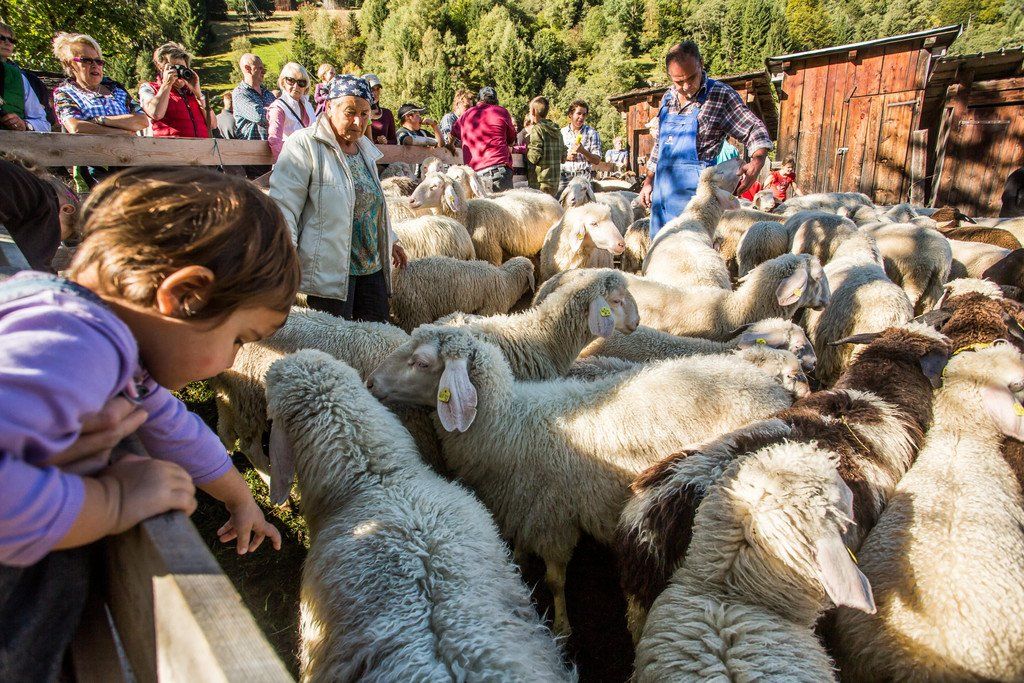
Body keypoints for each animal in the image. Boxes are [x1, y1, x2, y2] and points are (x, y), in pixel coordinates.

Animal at [366, 325, 799, 635]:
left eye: (422, 363)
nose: (369, 382)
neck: (507, 422)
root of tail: (771, 387)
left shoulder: (554, 516)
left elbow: (556, 579)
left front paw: (561, 625)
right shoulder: (522, 503)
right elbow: (521, 547)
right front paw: (519, 565)